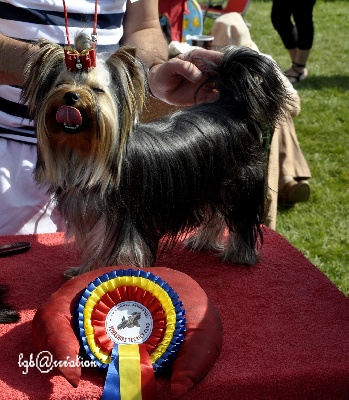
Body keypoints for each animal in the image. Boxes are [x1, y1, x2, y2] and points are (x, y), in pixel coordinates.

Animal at [21, 32, 288, 276]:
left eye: (97, 90)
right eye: (60, 85)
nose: (71, 96)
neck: (85, 154)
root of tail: (231, 107)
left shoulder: (125, 221)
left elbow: (122, 251)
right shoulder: (91, 217)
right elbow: (94, 245)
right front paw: (84, 271)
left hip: (239, 183)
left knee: (241, 219)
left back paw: (240, 255)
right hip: (213, 183)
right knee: (216, 214)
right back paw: (203, 241)